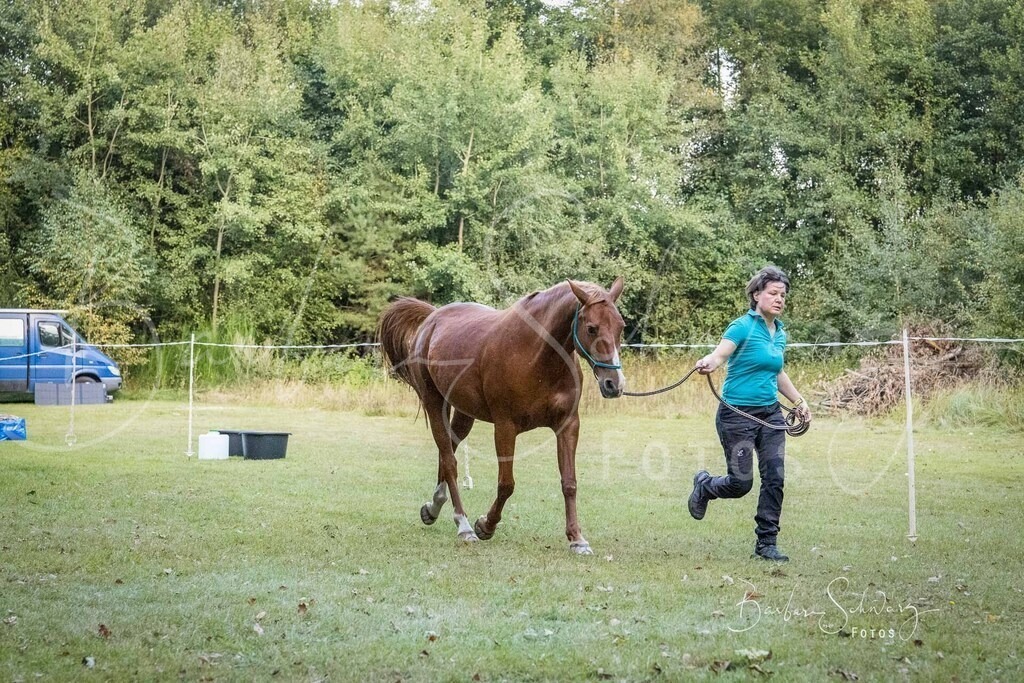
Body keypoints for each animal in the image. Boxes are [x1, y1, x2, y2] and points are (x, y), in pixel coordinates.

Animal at [377, 277, 626, 554]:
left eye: (621, 327)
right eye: (592, 328)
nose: (614, 384)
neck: (537, 356)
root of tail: (432, 318)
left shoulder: (568, 426)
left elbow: (569, 483)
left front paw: (577, 539)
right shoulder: (505, 427)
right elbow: (506, 484)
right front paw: (485, 525)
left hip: (464, 414)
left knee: (448, 452)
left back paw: (433, 507)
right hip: (435, 404)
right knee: (450, 461)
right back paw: (463, 525)